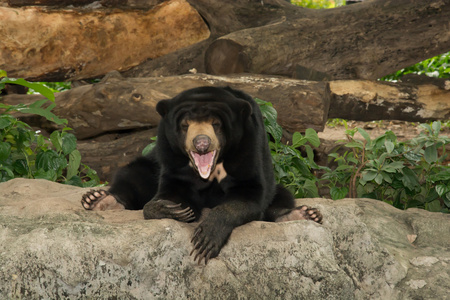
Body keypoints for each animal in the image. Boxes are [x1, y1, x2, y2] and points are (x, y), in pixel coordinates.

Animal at [80, 85, 320, 264]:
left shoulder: (248, 144)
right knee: (133, 174)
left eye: (216, 124)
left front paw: (207, 238)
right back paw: (98, 200)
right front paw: (173, 209)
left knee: (281, 195)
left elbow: (249, 192)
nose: (202, 143)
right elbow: (169, 190)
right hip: (149, 162)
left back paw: (303, 214)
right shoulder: (170, 153)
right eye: (185, 125)